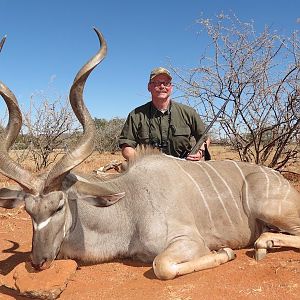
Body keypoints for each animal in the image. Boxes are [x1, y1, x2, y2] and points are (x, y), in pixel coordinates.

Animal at [0, 29, 300, 280]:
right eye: (29, 211)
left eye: (59, 206)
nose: (38, 261)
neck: (129, 206)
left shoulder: (189, 241)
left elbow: (162, 266)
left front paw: (225, 252)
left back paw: (263, 245)